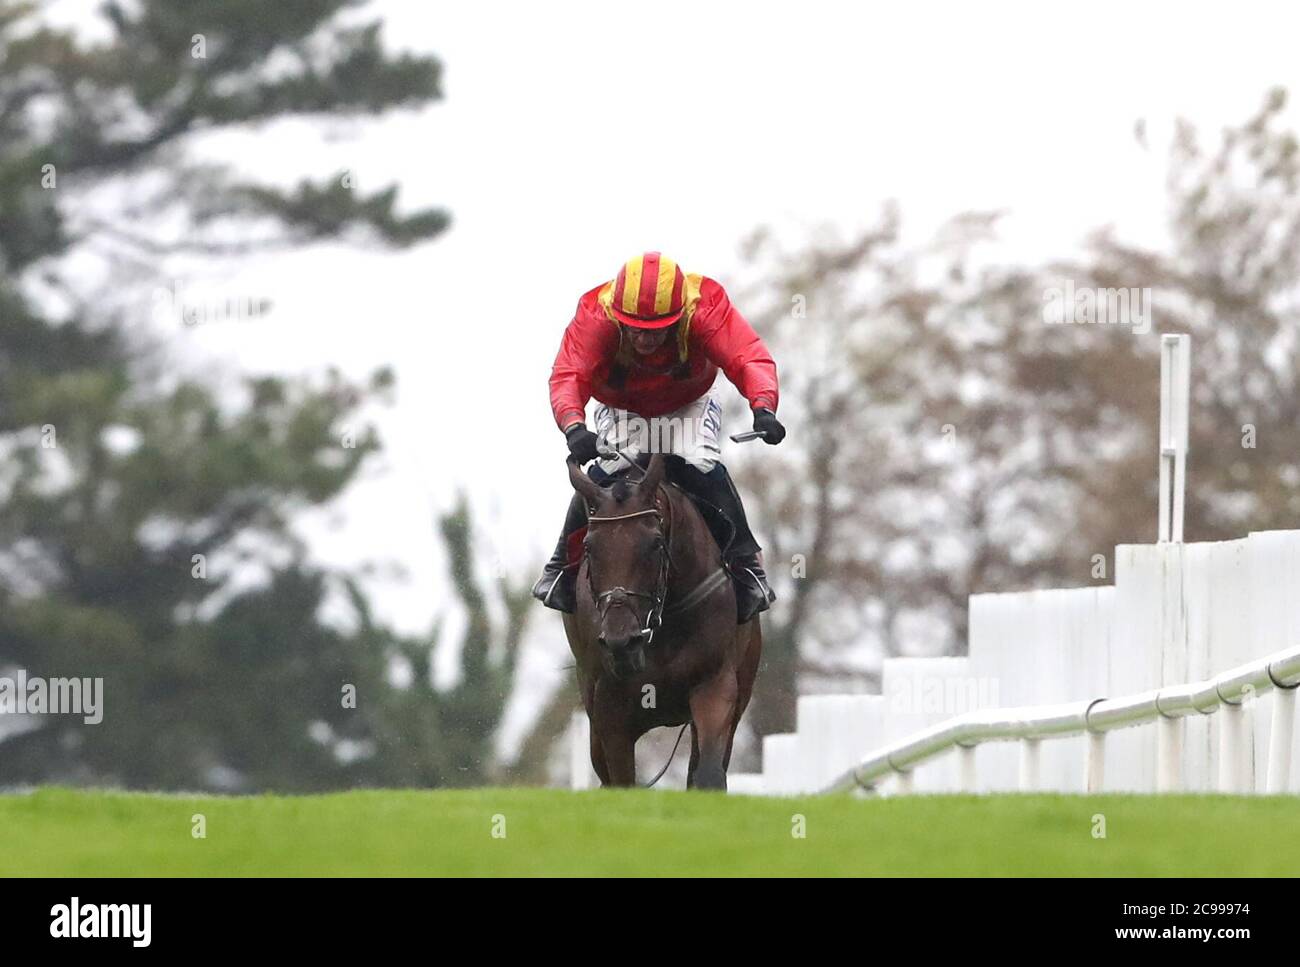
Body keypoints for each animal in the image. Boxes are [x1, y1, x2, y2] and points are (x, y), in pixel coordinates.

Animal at [561, 449, 759, 790]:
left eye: (655, 543)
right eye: (588, 546)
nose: (622, 642)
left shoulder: (716, 684)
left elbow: (708, 774)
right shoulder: (609, 709)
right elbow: (622, 781)